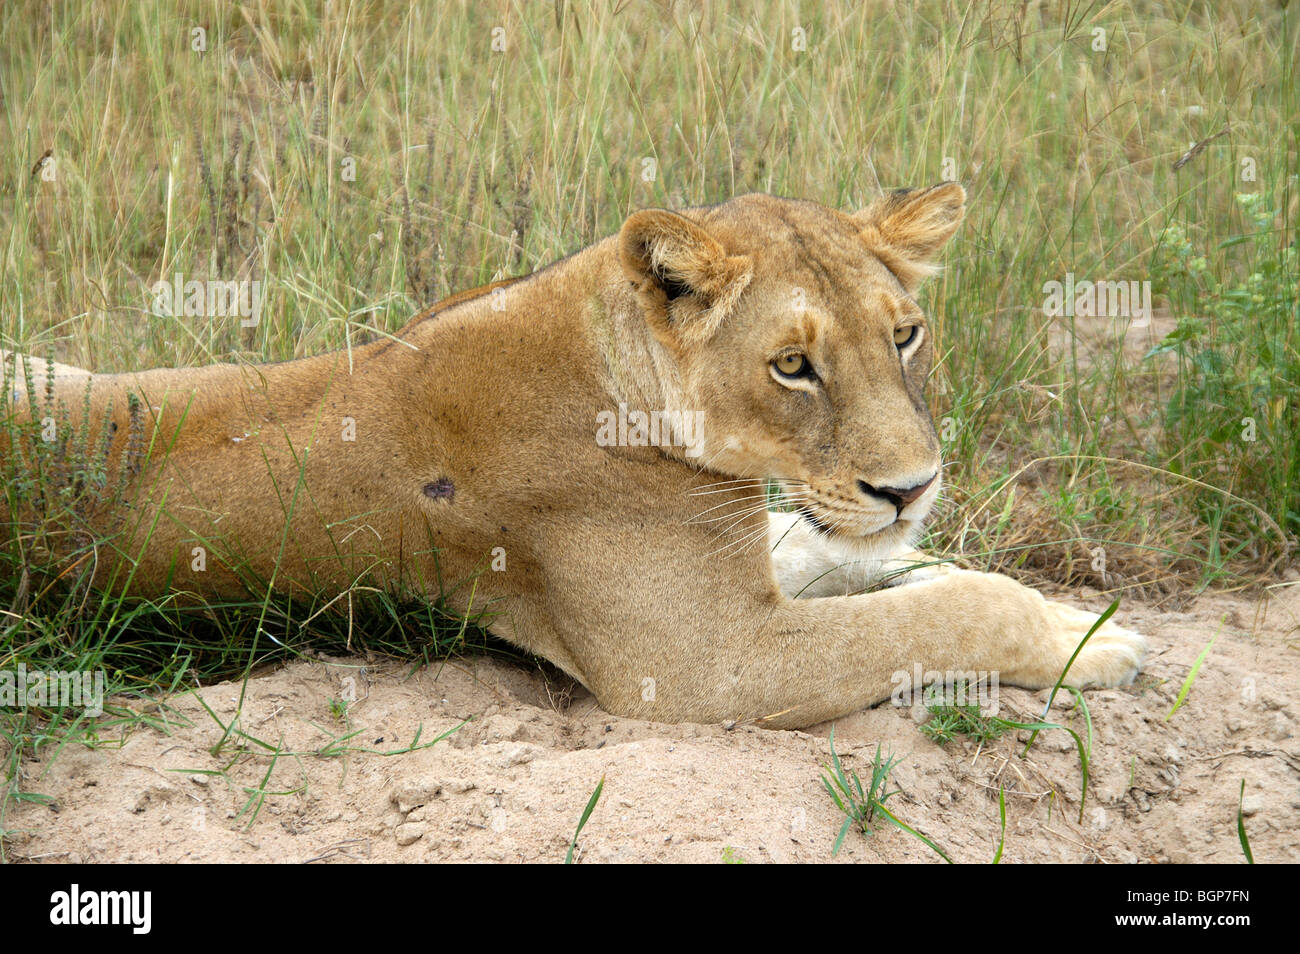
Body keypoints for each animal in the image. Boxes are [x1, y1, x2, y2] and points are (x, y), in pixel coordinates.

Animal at [2, 183, 1145, 728]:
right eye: (792, 366)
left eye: (904, 336)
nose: (911, 489)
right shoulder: (704, 667)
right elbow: (948, 610)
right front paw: (1089, 642)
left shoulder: (743, 555)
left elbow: (857, 558)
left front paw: (1025, 593)